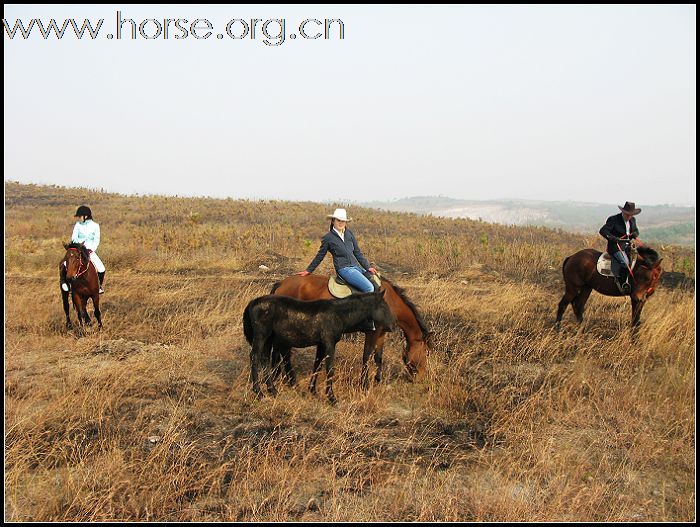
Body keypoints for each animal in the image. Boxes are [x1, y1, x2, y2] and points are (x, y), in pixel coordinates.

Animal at [242, 288, 396, 404]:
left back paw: (272, 390)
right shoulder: (329, 343)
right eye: (384, 306)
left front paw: (313, 391)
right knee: (255, 357)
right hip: (261, 336)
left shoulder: (321, 345)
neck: (338, 314)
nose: (392, 326)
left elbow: (317, 366)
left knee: (265, 360)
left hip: (269, 339)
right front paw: (332, 398)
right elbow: (329, 369)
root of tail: (253, 302)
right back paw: (258, 392)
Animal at [270, 276, 430, 392]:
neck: (390, 303)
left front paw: (377, 381)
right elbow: (367, 356)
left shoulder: (381, 333)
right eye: (426, 353)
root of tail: (282, 283)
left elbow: (378, 357)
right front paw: (364, 385)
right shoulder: (372, 333)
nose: (422, 378)